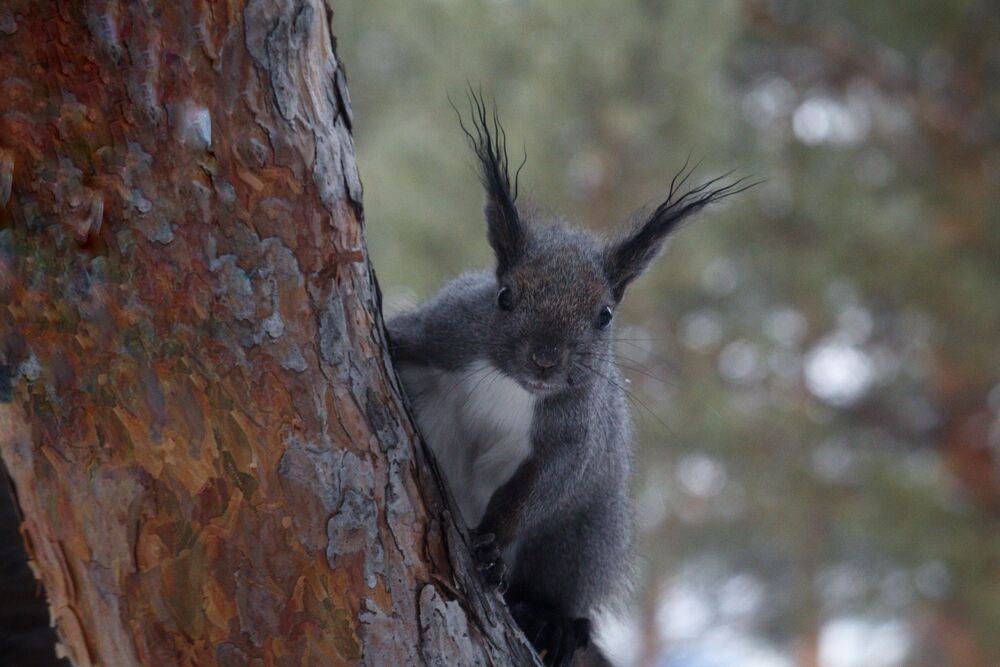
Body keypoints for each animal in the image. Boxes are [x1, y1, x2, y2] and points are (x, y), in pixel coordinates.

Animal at [387, 90, 753, 666]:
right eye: (504, 296)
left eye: (605, 314)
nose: (545, 359)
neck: (513, 388)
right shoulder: (442, 332)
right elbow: (401, 337)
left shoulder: (576, 431)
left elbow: (543, 484)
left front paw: (490, 545)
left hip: (580, 535)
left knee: (559, 582)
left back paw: (550, 621)